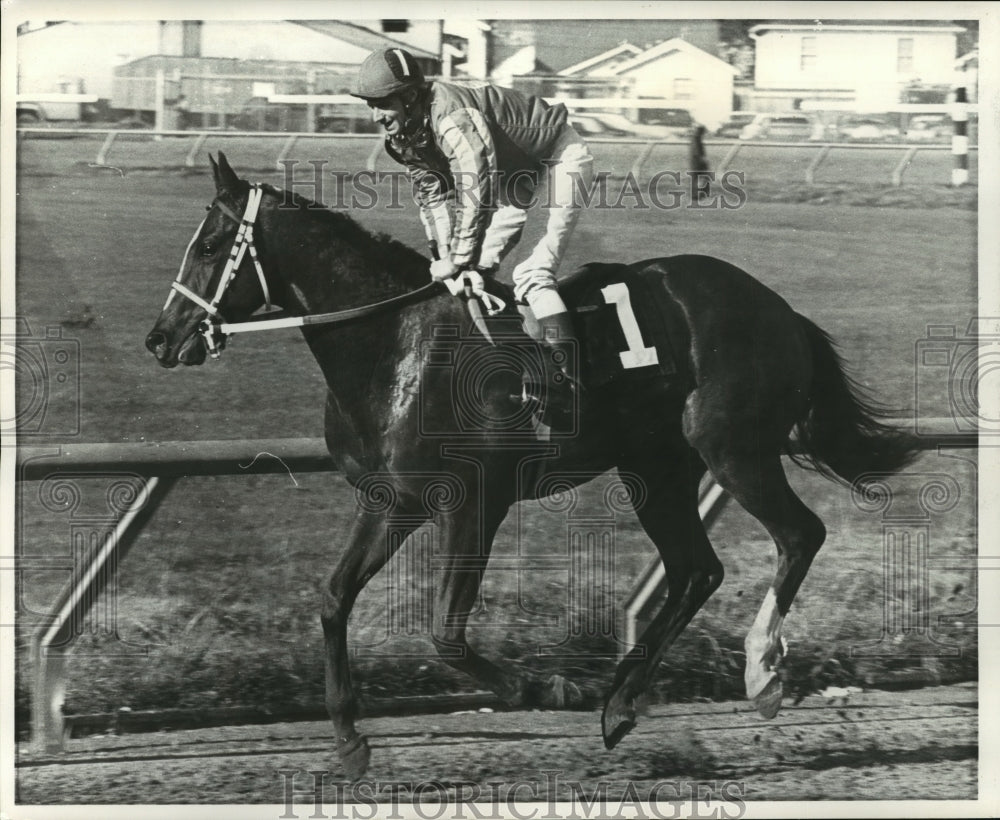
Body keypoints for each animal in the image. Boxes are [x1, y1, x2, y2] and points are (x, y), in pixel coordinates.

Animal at [145, 152, 916, 776]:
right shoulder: (393, 501)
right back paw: (621, 703)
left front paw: (547, 687)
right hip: (657, 469)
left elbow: (446, 632)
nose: (160, 338)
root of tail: (781, 309)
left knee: (798, 535)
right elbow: (335, 598)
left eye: (209, 245)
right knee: (698, 569)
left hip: (733, 447)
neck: (398, 346)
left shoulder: (474, 504)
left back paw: (760, 675)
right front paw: (349, 741)